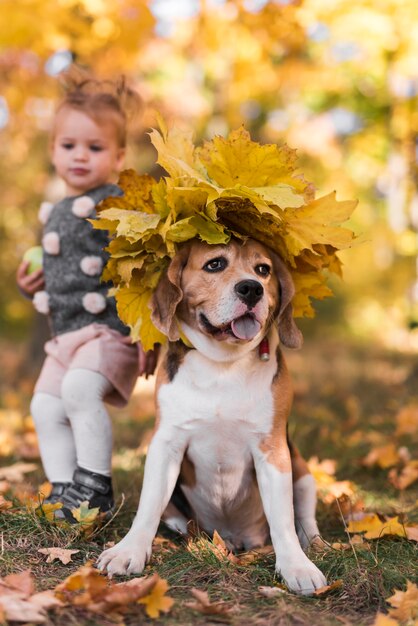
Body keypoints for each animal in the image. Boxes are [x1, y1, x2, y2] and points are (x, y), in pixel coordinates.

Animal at [98, 236, 326, 592]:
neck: (223, 365)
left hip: (302, 472)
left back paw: (316, 545)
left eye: (263, 270)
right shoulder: (166, 444)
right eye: (215, 264)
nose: (252, 289)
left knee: (303, 518)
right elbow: (148, 505)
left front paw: (296, 566)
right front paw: (129, 551)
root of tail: (236, 537)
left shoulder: (273, 449)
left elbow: (283, 519)